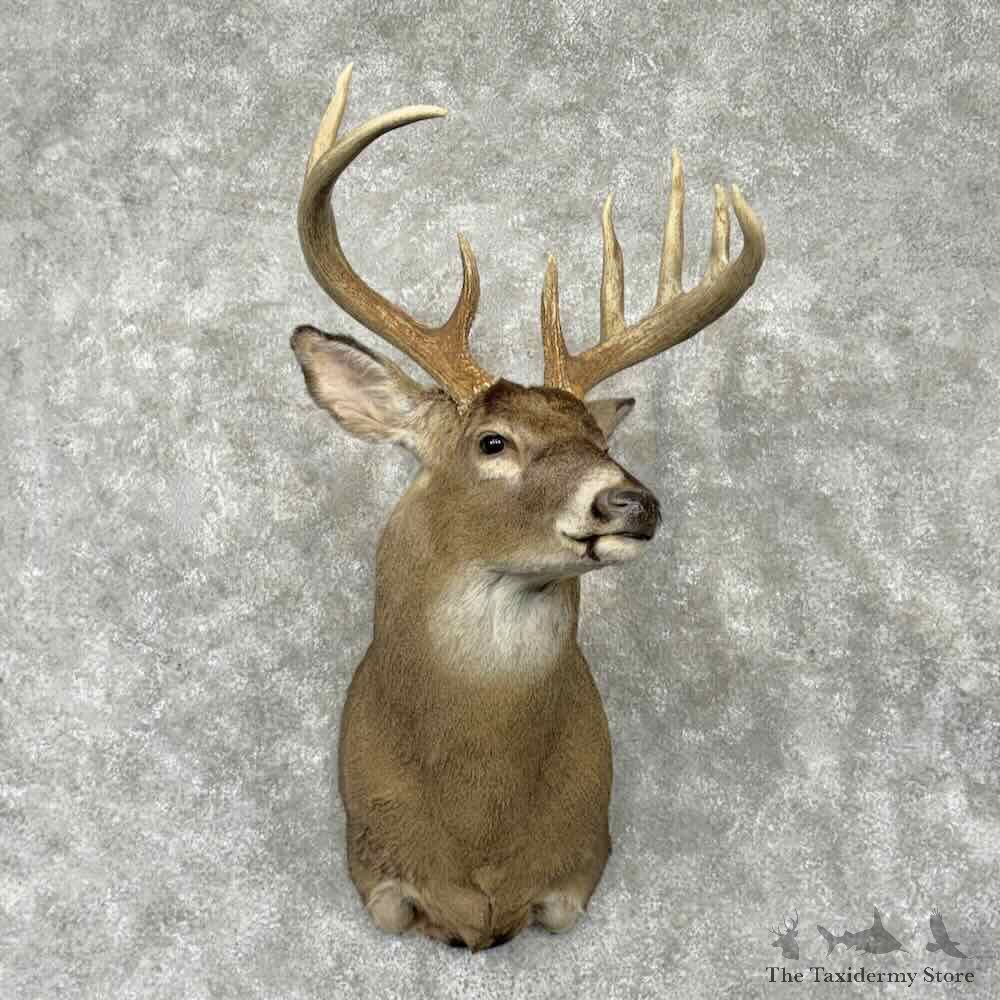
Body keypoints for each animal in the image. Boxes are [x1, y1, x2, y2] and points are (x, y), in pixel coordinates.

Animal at [290, 64, 765, 952]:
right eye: (492, 442)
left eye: (598, 436)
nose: (630, 500)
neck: (479, 824)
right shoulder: (373, 867)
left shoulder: (579, 868)